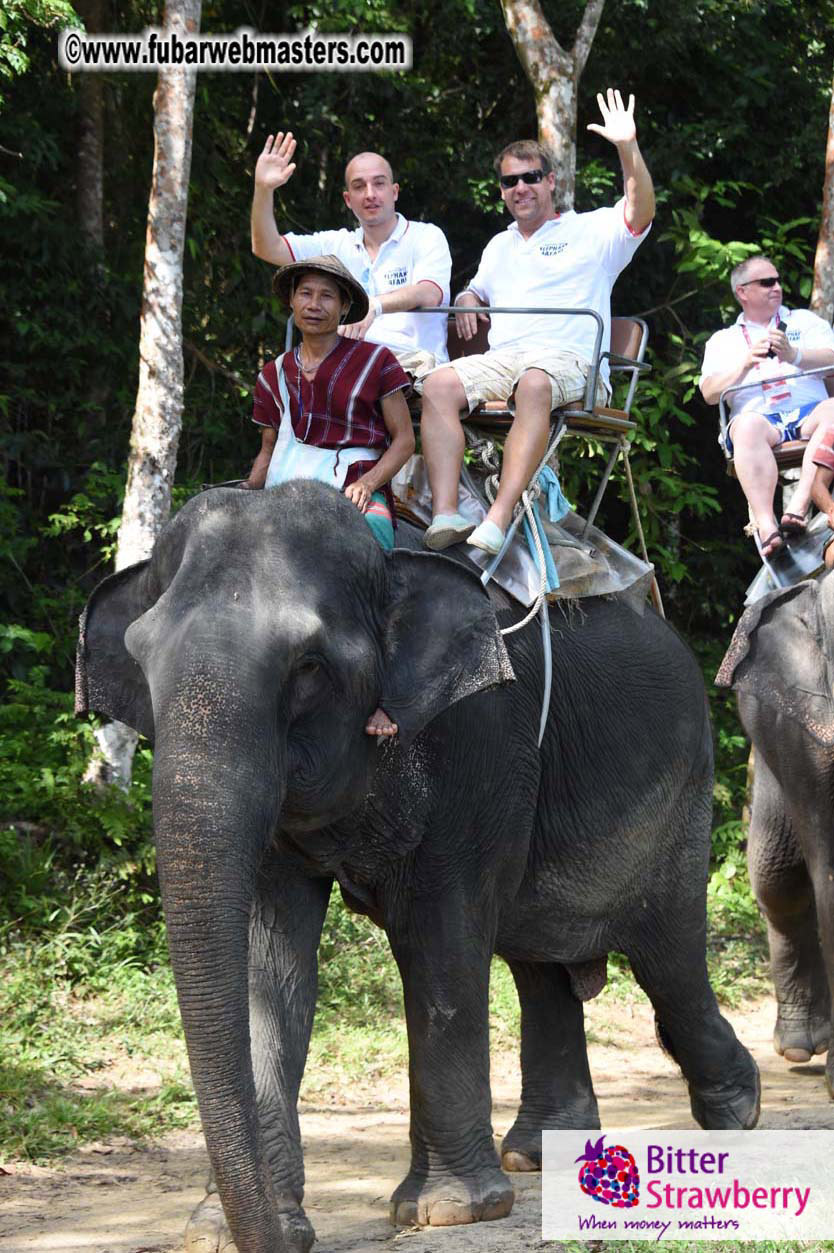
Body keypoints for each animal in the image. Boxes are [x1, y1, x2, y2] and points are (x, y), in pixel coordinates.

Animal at [76, 481, 759, 1253]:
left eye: (309, 666)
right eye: (141, 659)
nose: (272, 1240)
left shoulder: (479, 737)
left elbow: (439, 940)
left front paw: (450, 1210)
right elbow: (270, 965)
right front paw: (229, 1230)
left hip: (683, 788)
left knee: (666, 953)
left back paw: (737, 1112)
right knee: (540, 961)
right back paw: (540, 1153)